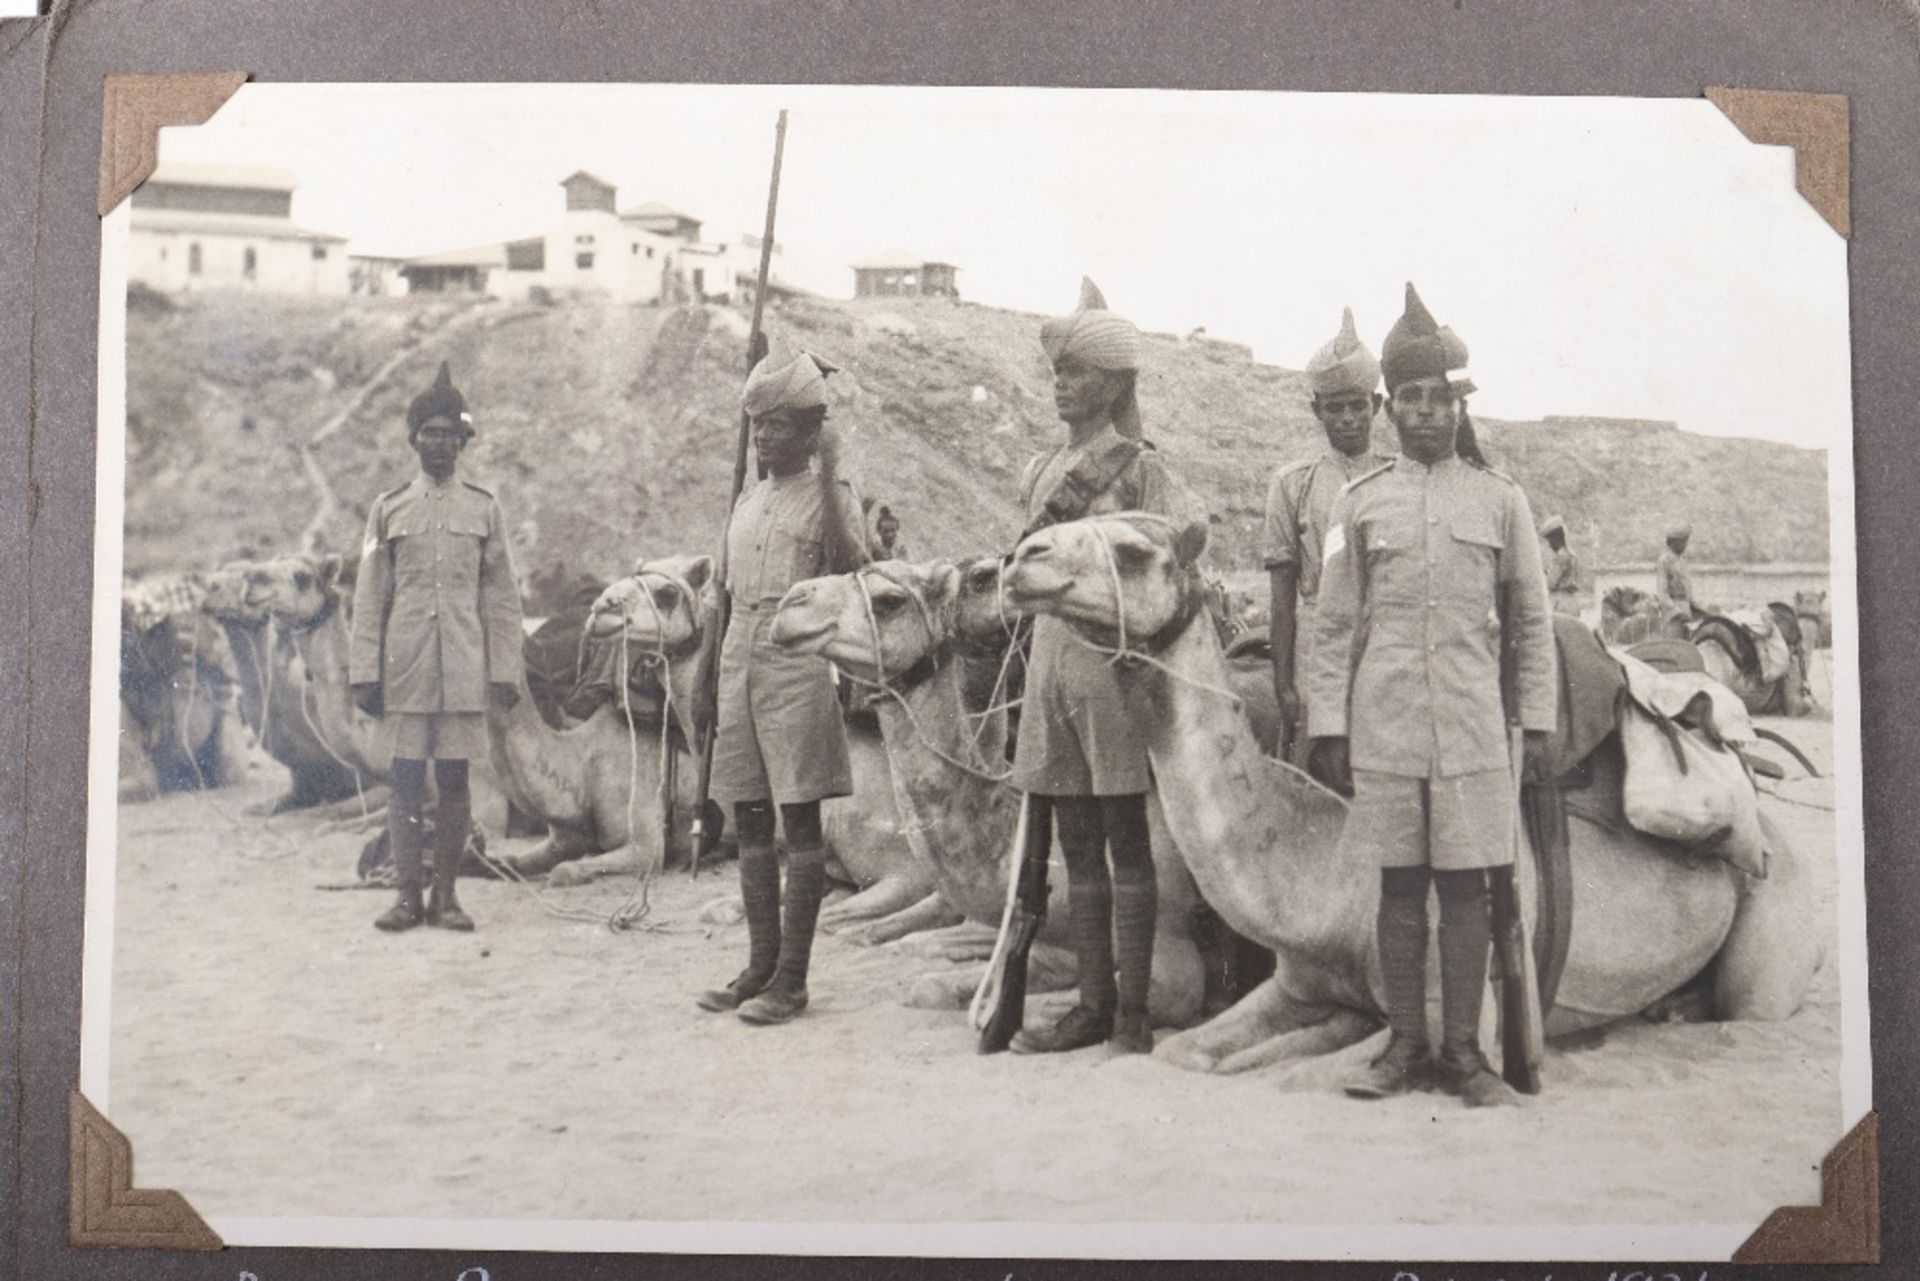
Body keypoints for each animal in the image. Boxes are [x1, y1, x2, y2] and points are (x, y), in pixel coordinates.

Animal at [998, 514, 1820, 1075]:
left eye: (1134, 553)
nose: (1019, 558)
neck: (1330, 865)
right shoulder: (1298, 982)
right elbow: (1187, 1053)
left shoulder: (1460, 1012)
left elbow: (1314, 1069)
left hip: (1770, 913)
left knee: (1750, 1007)